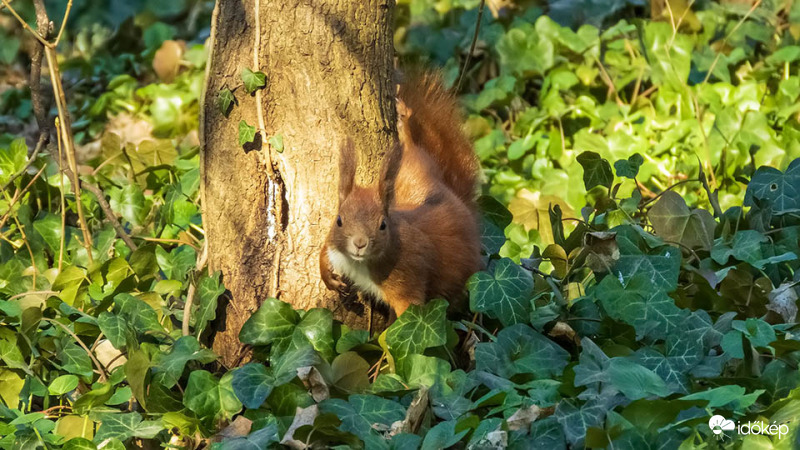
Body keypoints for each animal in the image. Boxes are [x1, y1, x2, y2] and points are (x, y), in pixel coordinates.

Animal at [318, 71, 482, 316]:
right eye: (339, 220)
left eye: (382, 225)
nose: (359, 243)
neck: (358, 263)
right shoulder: (334, 245)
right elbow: (324, 250)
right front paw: (328, 277)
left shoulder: (407, 277)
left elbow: (409, 315)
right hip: (408, 168)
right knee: (408, 144)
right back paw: (401, 120)